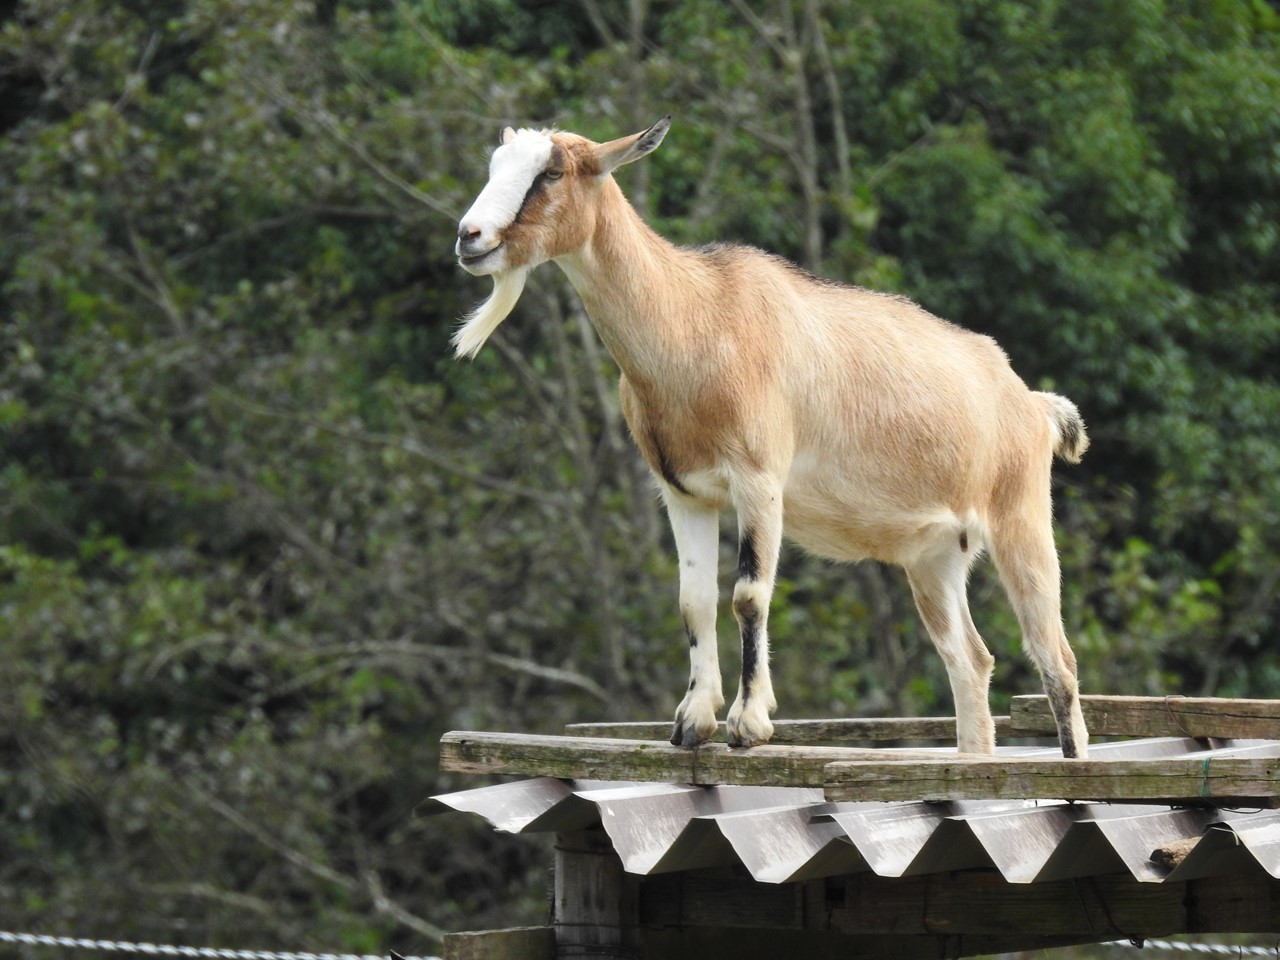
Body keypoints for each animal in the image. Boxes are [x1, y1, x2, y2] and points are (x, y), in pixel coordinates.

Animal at [450, 118, 1090, 757]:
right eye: (496, 164)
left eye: (552, 172)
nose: (469, 237)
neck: (696, 317)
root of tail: (1031, 403)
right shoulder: (683, 491)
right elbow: (694, 599)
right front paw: (692, 720)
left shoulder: (757, 480)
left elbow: (748, 594)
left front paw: (748, 721)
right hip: (934, 555)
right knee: (970, 661)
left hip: (1021, 519)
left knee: (1056, 661)